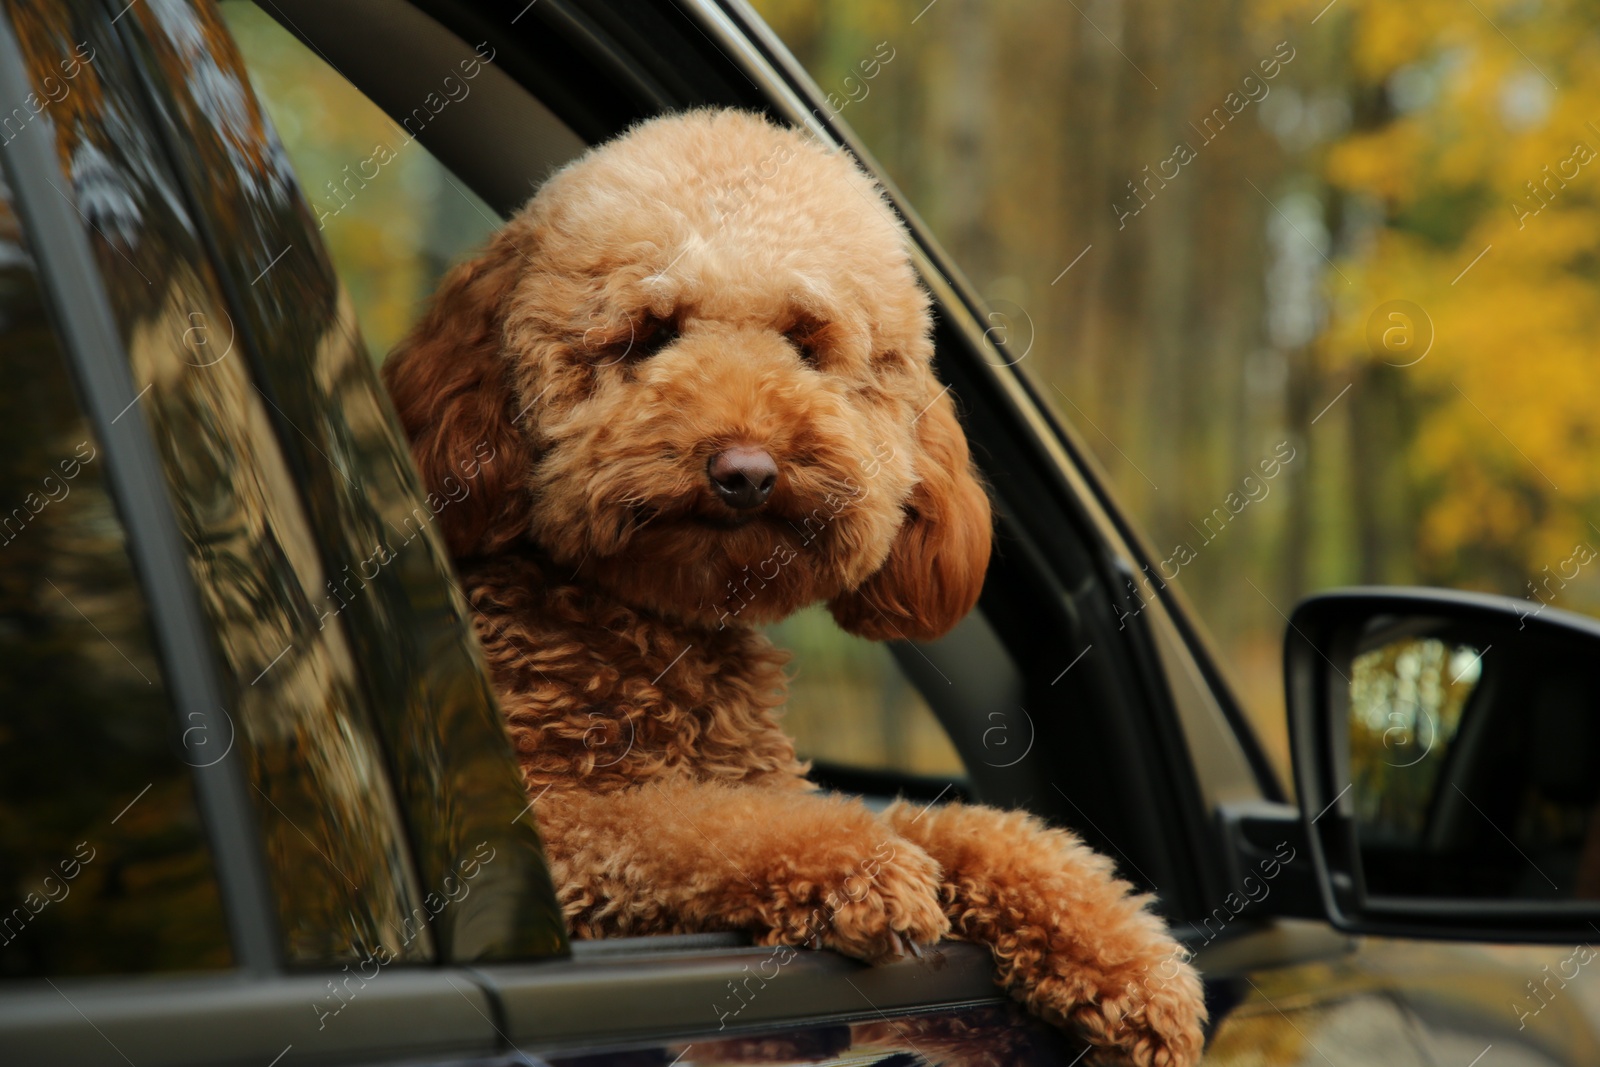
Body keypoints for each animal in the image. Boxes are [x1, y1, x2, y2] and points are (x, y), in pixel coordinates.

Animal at [384, 108, 1203, 1067]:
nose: (744, 470)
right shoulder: (549, 831)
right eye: (648, 331)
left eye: (809, 343)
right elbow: (688, 823)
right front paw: (860, 868)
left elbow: (967, 828)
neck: (664, 636)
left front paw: (1126, 960)